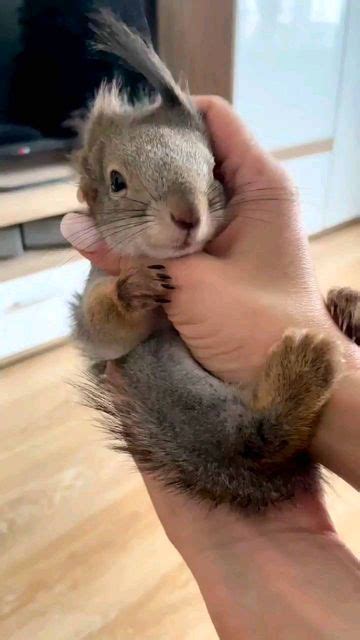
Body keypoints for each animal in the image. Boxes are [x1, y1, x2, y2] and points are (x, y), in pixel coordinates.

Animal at [71, 8, 360, 510]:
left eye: (213, 168)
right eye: (115, 181)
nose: (188, 215)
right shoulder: (100, 290)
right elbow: (103, 330)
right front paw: (134, 291)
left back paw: (347, 307)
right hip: (164, 376)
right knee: (253, 442)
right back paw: (304, 370)